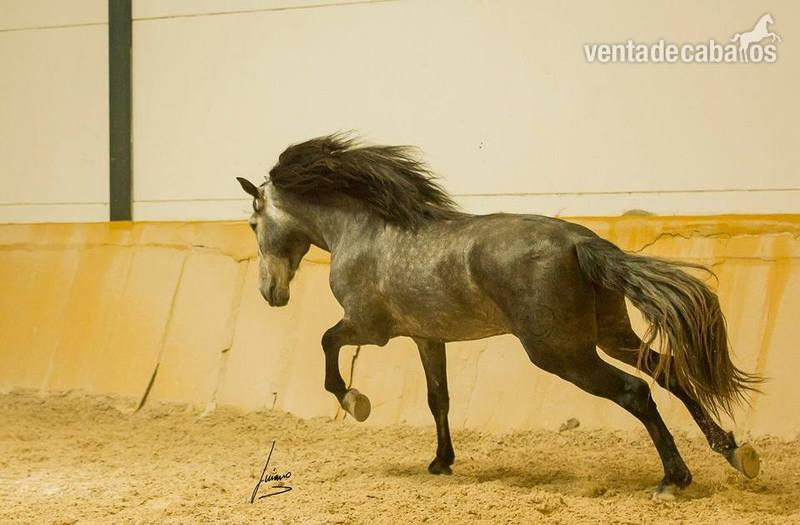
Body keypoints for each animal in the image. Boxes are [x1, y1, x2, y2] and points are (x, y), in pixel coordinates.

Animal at [236, 134, 762, 500]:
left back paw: (673, 479)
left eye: (253, 224)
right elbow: (439, 399)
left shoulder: (368, 328)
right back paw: (734, 452)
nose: (270, 294)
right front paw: (441, 463)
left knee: (636, 390)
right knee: (667, 372)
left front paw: (354, 402)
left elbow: (327, 345)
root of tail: (581, 243)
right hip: (609, 335)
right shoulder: (427, 339)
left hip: (561, 352)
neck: (362, 231)